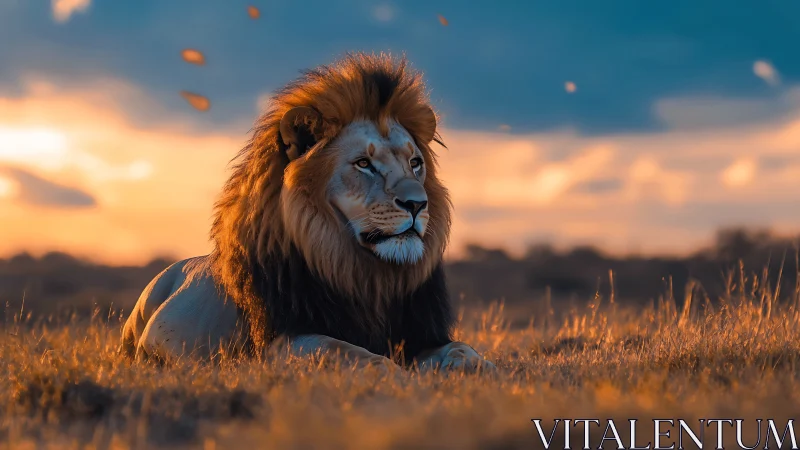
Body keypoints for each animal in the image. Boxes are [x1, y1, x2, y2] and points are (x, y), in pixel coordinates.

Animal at [119, 52, 496, 373]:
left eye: (415, 163)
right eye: (364, 164)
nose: (418, 204)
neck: (368, 277)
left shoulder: (421, 333)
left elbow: (461, 348)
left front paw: (485, 369)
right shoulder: (280, 339)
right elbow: (344, 349)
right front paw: (390, 371)